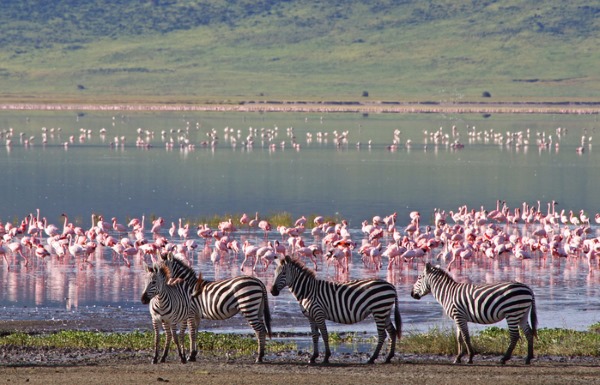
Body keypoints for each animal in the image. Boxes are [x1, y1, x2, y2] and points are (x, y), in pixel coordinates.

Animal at [270, 255, 400, 364]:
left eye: (283, 273)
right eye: (275, 273)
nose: (272, 291)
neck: (307, 291)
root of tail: (391, 285)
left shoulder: (318, 313)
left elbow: (324, 334)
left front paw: (326, 357)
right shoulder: (311, 317)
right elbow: (314, 335)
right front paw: (313, 357)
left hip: (379, 310)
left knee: (382, 334)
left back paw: (372, 358)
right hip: (385, 311)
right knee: (392, 332)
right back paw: (388, 357)